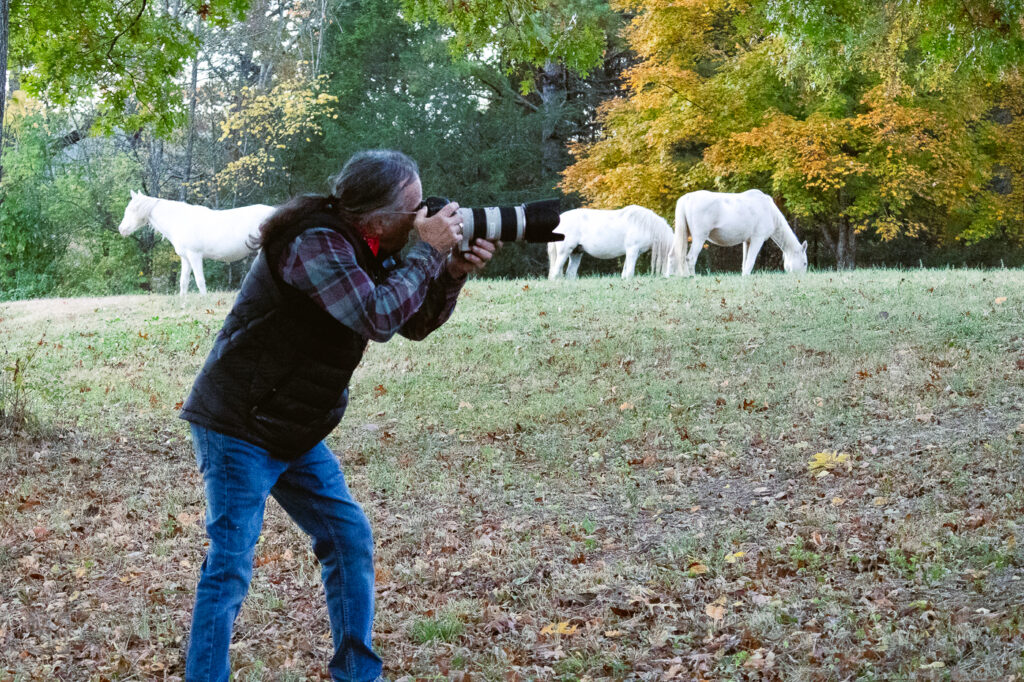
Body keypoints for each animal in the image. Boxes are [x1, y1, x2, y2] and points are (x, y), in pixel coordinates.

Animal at [118, 192, 276, 296]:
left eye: (131, 209)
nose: (121, 229)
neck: (179, 220)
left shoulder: (195, 256)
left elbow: (200, 281)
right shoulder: (186, 258)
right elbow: (183, 282)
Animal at [671, 187, 806, 274]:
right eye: (804, 263)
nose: (801, 278)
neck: (769, 211)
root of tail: (687, 197)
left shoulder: (747, 241)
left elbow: (744, 264)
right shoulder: (757, 239)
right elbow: (750, 262)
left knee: (675, 256)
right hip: (699, 237)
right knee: (690, 258)